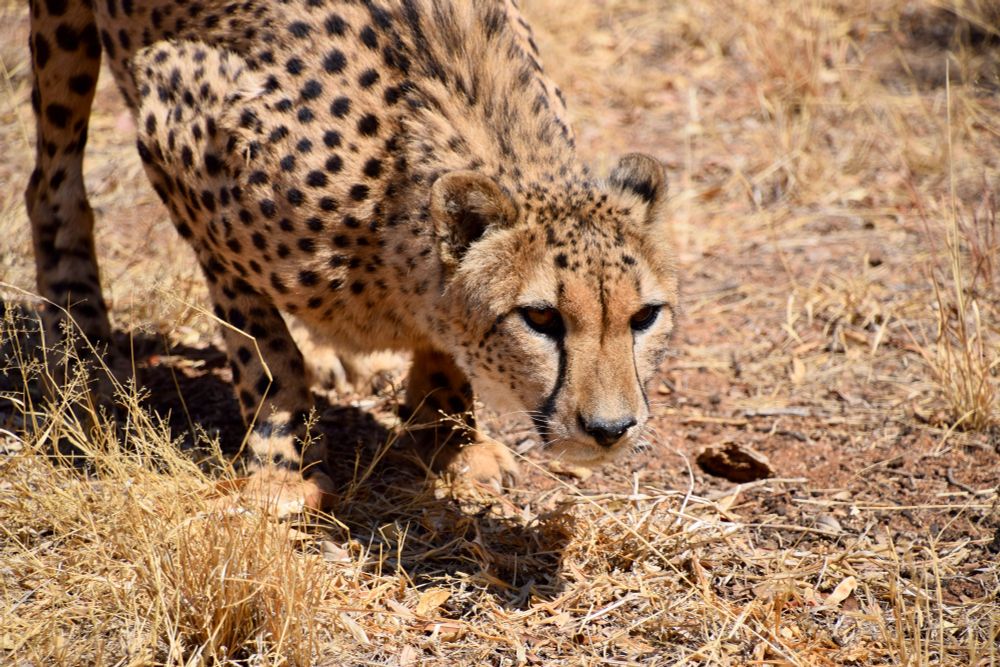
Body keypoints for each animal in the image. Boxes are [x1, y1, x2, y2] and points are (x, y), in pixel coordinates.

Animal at [25, 0, 679, 509]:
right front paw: (283, 461)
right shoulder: (173, 123)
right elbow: (263, 346)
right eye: (540, 318)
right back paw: (87, 360)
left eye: (644, 317)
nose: (611, 429)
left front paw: (450, 436)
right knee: (50, 187)